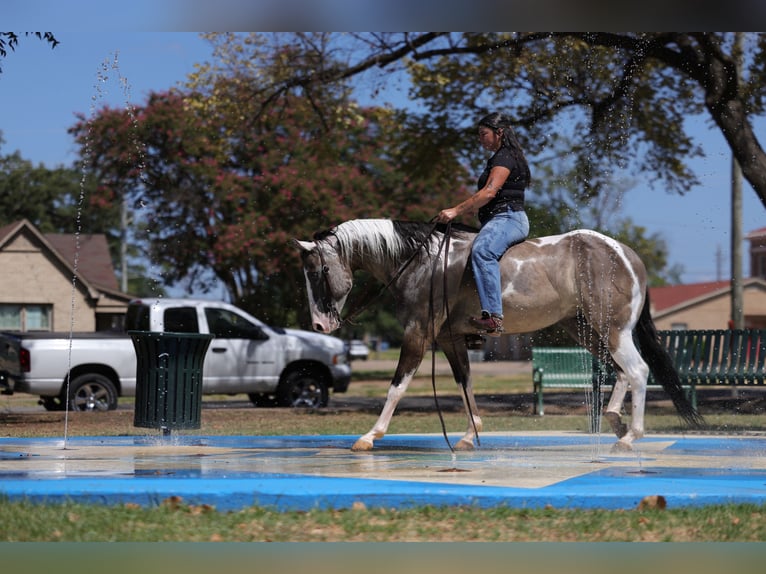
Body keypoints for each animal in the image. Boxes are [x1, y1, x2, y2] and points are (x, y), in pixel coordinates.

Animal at [292, 218, 702, 452]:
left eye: (317, 272)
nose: (319, 325)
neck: (423, 262)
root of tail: (626, 253)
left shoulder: (417, 335)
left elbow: (397, 386)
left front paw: (370, 436)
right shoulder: (450, 340)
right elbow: (465, 385)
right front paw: (470, 435)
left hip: (613, 330)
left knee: (638, 372)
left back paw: (631, 436)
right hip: (587, 330)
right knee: (620, 372)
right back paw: (616, 421)